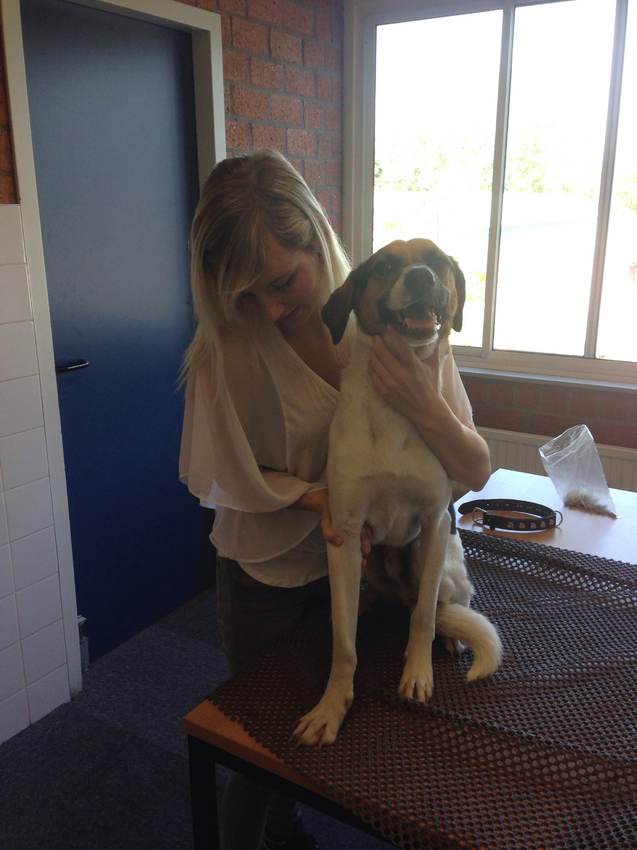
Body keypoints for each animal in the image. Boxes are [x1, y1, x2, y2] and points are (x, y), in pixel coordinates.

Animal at [294, 239, 502, 746]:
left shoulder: (434, 520)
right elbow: (343, 643)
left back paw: (449, 633)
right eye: (385, 266)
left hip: (442, 562)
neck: (393, 409)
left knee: (444, 604)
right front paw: (332, 705)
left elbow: (424, 617)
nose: (422, 277)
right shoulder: (346, 533)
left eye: (439, 261)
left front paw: (417, 674)